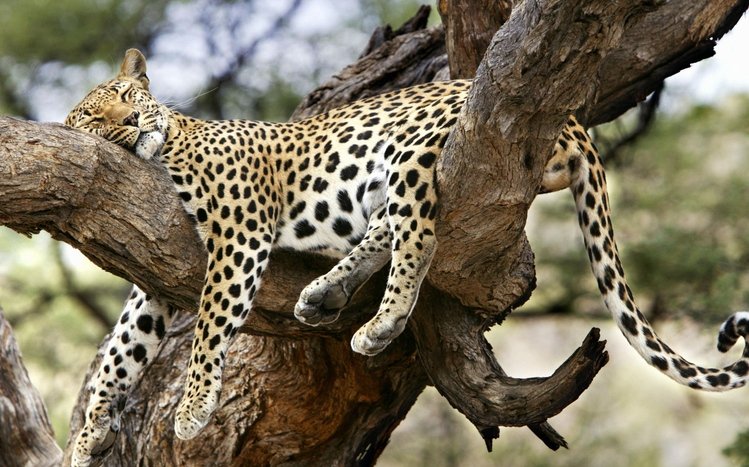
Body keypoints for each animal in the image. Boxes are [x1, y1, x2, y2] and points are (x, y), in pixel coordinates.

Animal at [64, 48, 749, 465]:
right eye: (94, 118)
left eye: (127, 96)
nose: (132, 123)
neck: (168, 147)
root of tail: (577, 121)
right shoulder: (154, 280)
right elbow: (120, 353)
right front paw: (88, 434)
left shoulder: (239, 235)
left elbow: (209, 327)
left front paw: (192, 410)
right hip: (382, 181)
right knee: (386, 231)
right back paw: (326, 294)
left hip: (412, 148)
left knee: (418, 236)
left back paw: (382, 322)